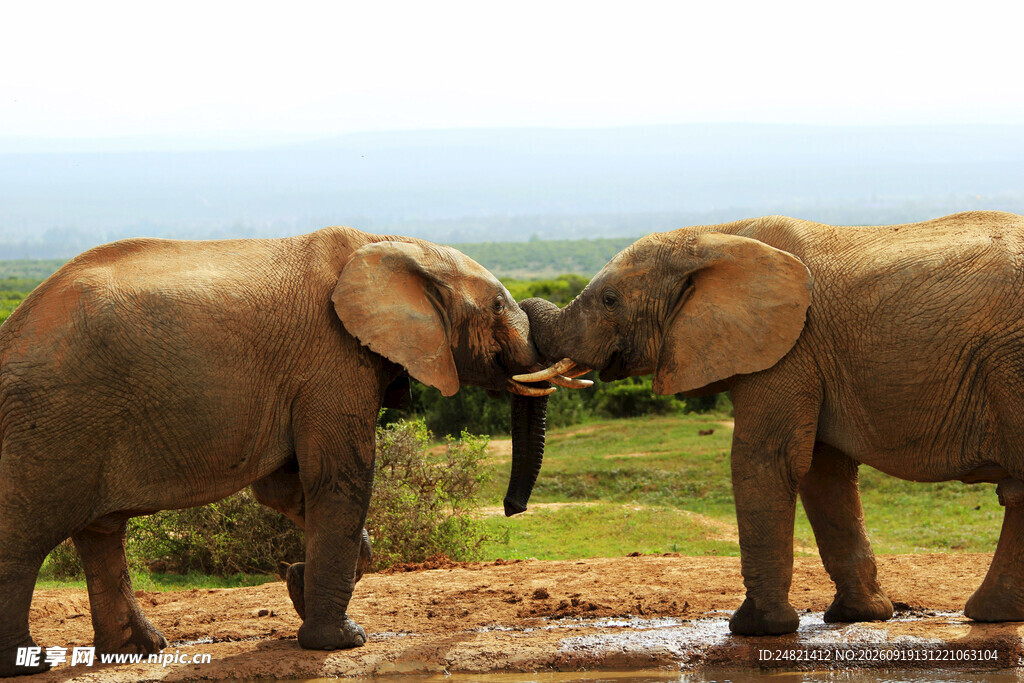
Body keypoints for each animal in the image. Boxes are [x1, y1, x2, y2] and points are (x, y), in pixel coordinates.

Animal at [0, 226, 576, 676]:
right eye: (498, 307)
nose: (512, 508)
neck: (394, 243)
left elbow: (283, 488)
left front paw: (299, 583)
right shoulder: (333, 359)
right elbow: (339, 479)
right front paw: (341, 641)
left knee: (101, 533)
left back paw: (140, 651)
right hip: (50, 421)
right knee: (25, 537)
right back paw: (28, 663)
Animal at [518, 210, 1024, 636]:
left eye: (610, 300)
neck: (716, 235)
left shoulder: (788, 347)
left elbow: (766, 461)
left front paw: (755, 629)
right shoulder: (808, 355)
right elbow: (824, 472)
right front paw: (857, 617)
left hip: (1009, 360)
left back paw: (990, 614)